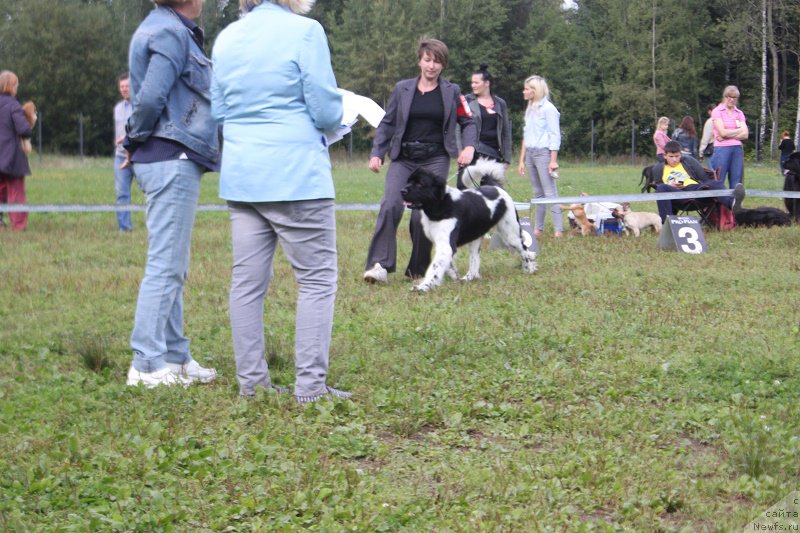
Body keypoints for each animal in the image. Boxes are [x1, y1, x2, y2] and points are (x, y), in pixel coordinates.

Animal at [400, 158, 536, 290]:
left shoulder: (446, 244)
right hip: (476, 237)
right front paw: (454, 276)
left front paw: (424, 286)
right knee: (474, 258)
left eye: (419, 184)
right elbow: (447, 264)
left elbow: (435, 266)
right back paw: (469, 277)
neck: (441, 204)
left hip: (510, 233)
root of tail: (496, 187)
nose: (402, 190)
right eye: (408, 181)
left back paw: (529, 269)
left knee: (524, 249)